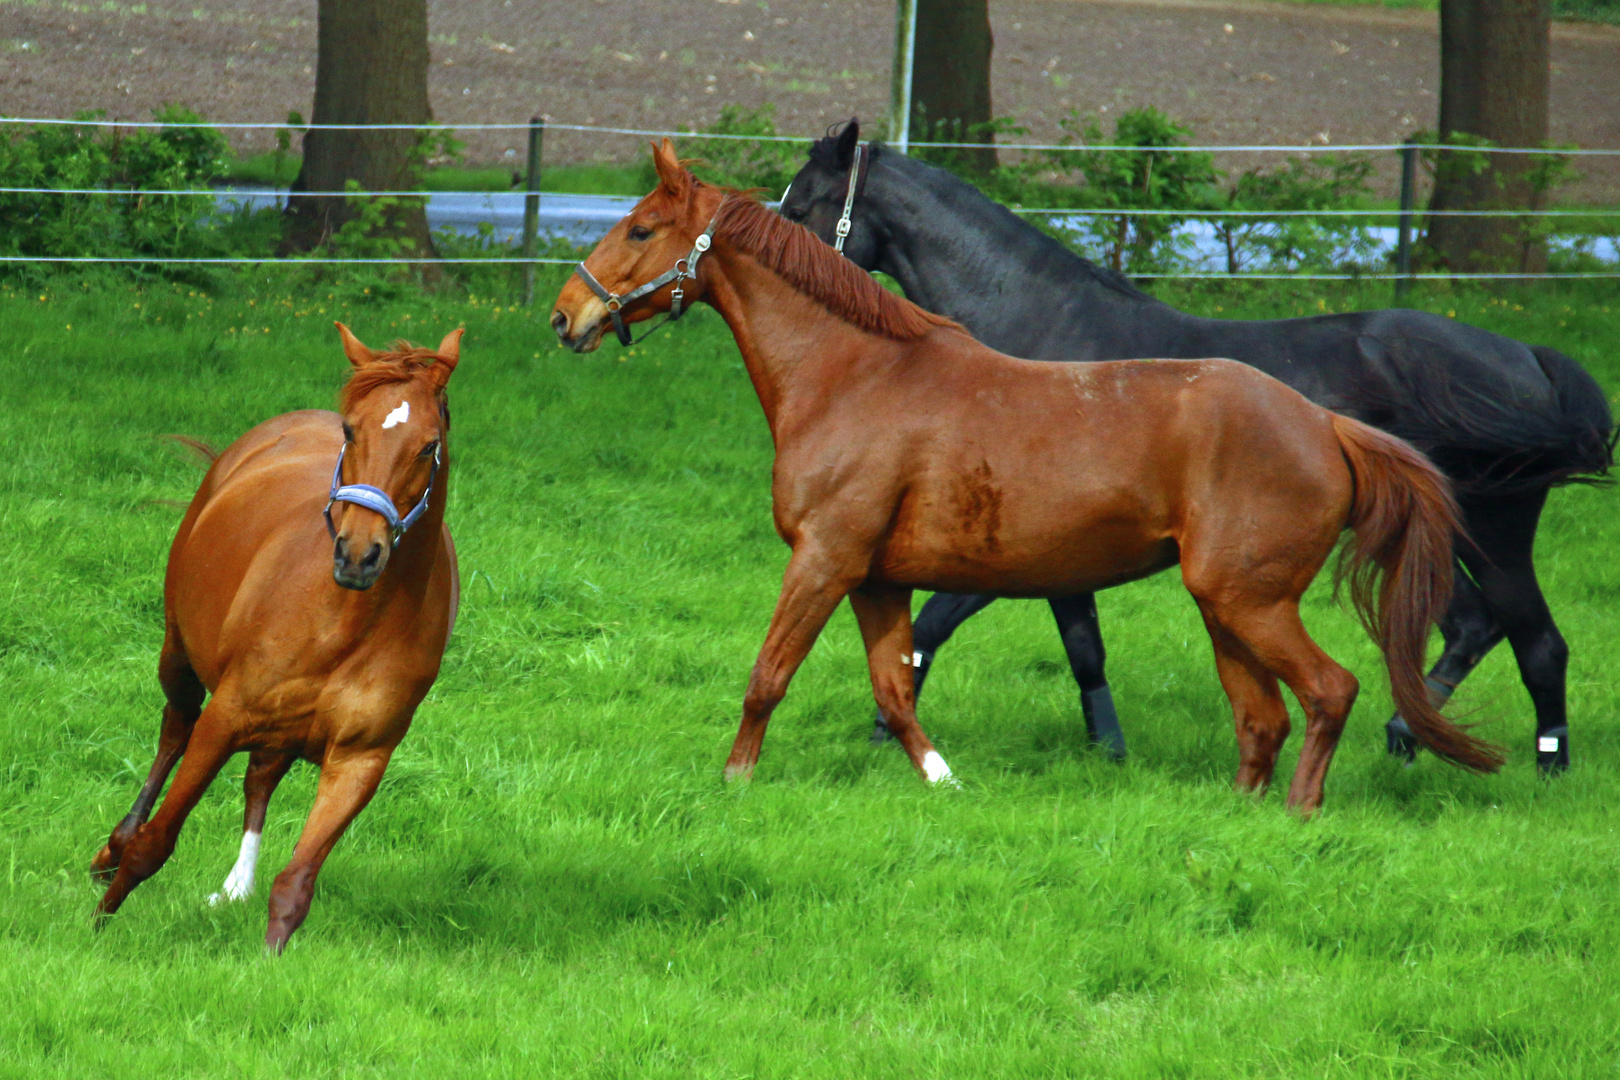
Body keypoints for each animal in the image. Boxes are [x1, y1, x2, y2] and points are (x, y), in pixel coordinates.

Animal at [91, 325, 463, 952]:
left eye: (427, 445)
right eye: (351, 430)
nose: (358, 554)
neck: (348, 619)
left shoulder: (360, 759)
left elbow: (296, 883)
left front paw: (268, 958)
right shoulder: (224, 720)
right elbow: (156, 843)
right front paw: (98, 921)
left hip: (284, 731)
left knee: (260, 777)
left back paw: (234, 887)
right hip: (178, 655)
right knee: (174, 729)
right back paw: (111, 850)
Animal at [557, 143, 1503, 816]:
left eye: (640, 229)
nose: (569, 314)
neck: (854, 374)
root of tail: (1326, 426)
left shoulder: (825, 559)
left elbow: (769, 675)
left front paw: (735, 781)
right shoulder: (877, 578)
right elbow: (898, 688)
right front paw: (944, 781)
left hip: (1249, 601)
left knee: (1330, 692)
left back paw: (1302, 812)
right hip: (1225, 606)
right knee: (1262, 718)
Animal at [780, 122, 1607, 773]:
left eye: (802, 202)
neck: (1041, 337)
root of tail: (1530, 361)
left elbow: (931, 626)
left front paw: (884, 729)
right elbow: (1082, 646)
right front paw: (1109, 750)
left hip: (1492, 532)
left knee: (1535, 641)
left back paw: (1533, 763)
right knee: (1478, 625)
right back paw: (1410, 737)